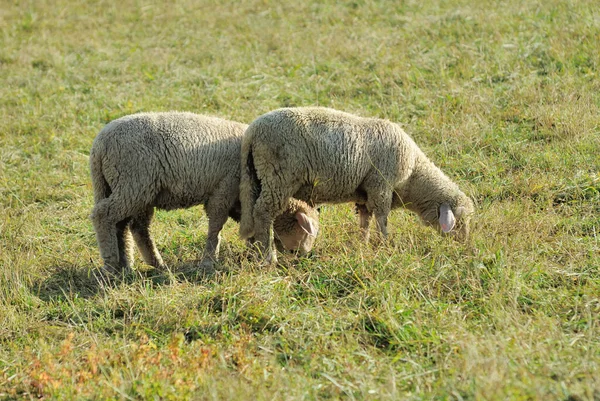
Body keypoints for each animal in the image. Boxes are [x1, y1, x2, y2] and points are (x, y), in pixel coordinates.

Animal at [89, 111, 318, 276]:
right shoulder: (224, 188)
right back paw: (112, 265)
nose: (301, 257)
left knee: (131, 227)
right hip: (133, 183)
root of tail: (99, 145)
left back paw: (135, 265)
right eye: (302, 228)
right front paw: (209, 260)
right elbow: (216, 224)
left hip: (133, 189)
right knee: (104, 216)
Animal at [238, 106, 474, 262]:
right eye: (460, 221)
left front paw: (363, 243)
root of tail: (252, 132)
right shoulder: (381, 185)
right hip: (279, 177)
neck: (413, 174)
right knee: (262, 213)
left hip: (259, 178)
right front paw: (385, 244)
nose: (466, 245)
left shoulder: (365, 194)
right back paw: (267, 256)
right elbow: (382, 219)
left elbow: (365, 220)